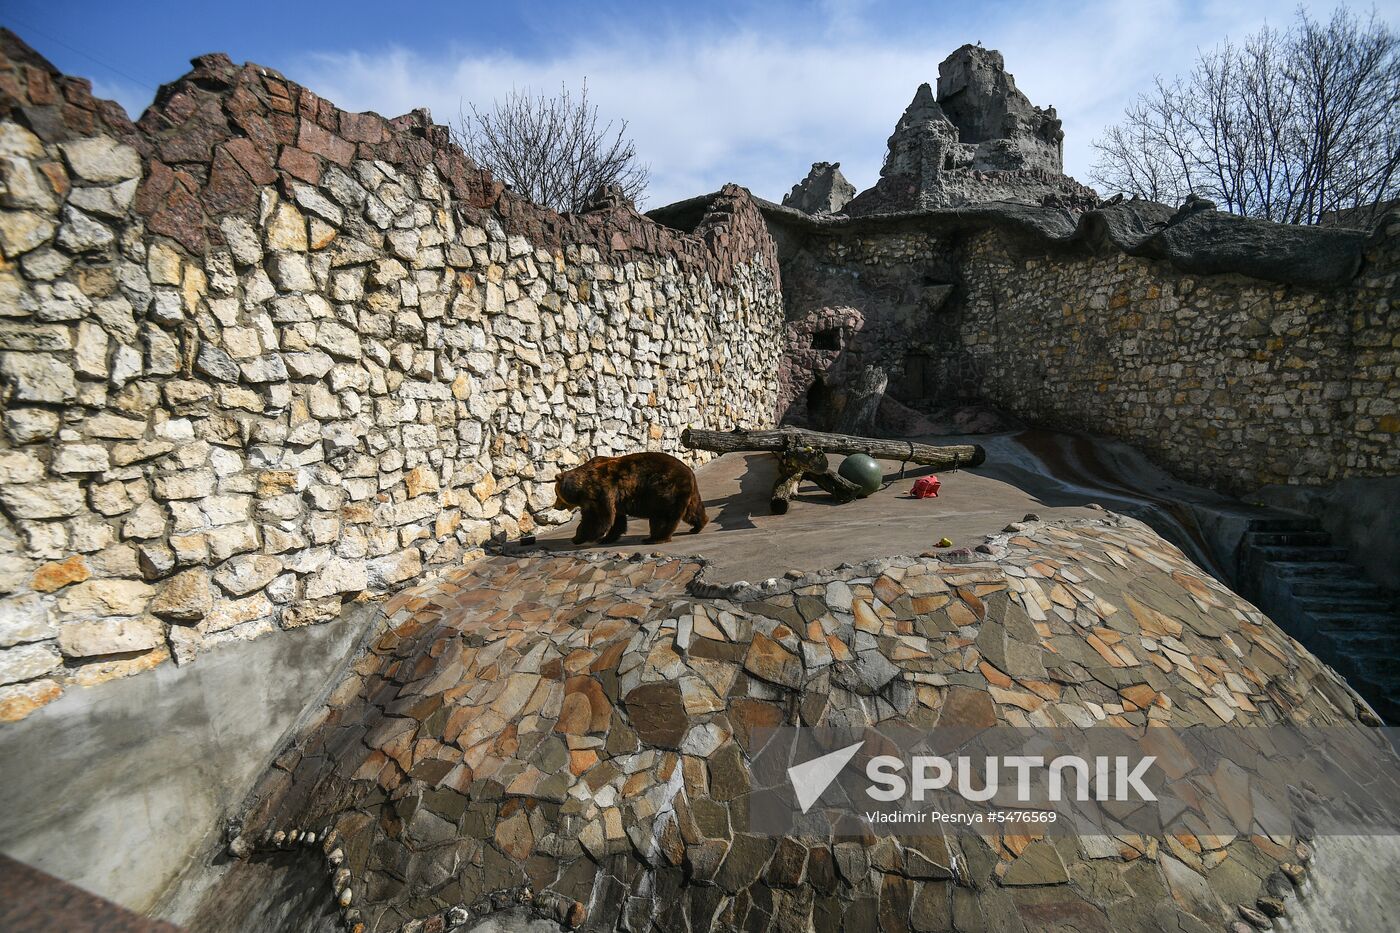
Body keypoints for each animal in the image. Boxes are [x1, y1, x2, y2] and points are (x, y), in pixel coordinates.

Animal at [553, 452, 708, 545]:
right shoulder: (614, 499)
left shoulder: (598, 490)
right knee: (693, 510)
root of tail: (688, 470)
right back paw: (697, 526)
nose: (555, 506)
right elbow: (616, 520)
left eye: (556, 494)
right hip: (686, 492)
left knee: (662, 516)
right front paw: (607, 538)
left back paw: (656, 538)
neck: (580, 488)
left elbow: (596, 517)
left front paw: (578, 537)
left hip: (664, 490)